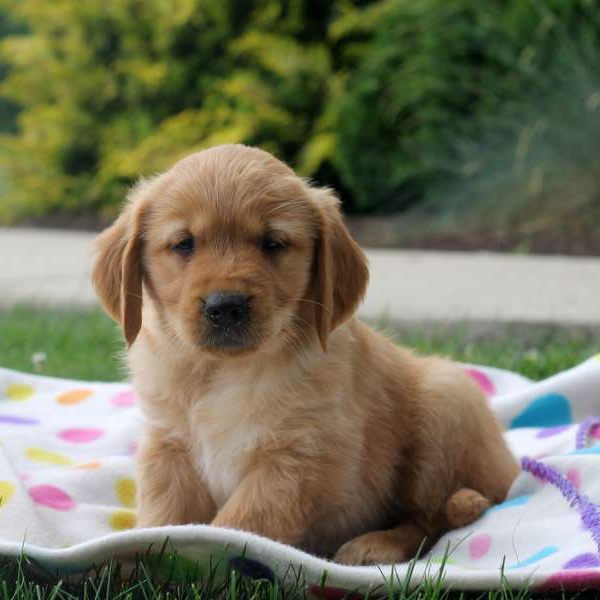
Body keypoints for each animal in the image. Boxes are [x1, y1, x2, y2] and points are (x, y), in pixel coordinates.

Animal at [91, 143, 516, 564]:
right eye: (183, 244)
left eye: (273, 243)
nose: (225, 306)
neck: (225, 372)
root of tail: (510, 469)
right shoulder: (170, 446)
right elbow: (165, 517)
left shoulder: (298, 458)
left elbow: (236, 526)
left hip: (446, 399)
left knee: (431, 520)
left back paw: (374, 545)